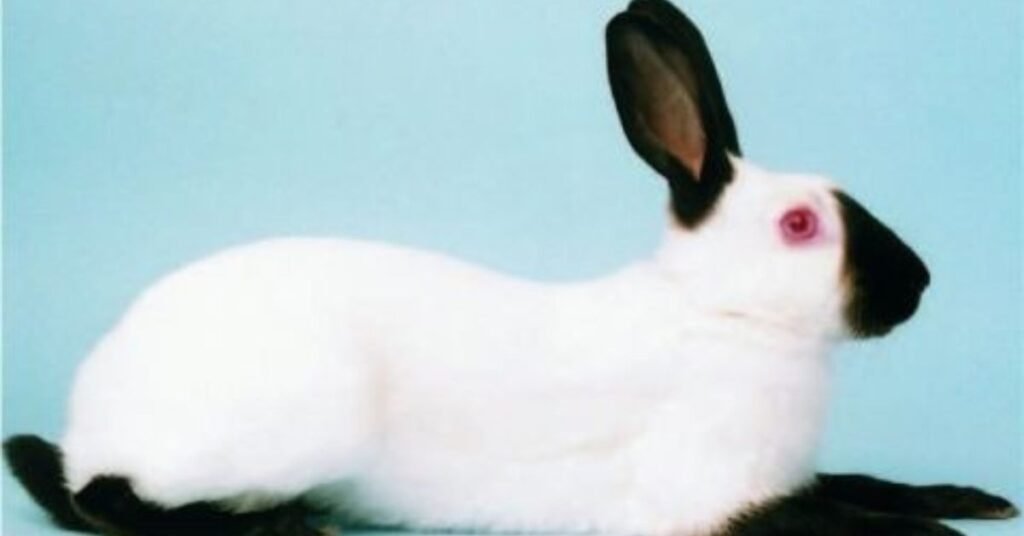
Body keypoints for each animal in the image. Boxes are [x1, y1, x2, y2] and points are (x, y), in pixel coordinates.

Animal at [5, 1, 1018, 535]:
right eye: (801, 224)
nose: (921, 283)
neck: (716, 314)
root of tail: (90, 414)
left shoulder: (788, 476)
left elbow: (861, 483)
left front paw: (970, 499)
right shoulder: (705, 501)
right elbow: (837, 516)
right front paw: (936, 529)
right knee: (109, 499)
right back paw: (298, 524)